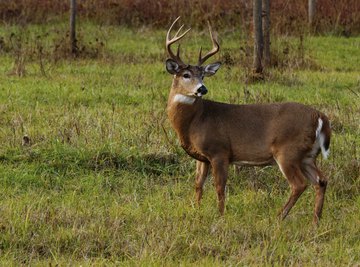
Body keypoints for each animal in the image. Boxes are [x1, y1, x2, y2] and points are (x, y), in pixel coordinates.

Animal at [165, 16, 330, 225]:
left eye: (202, 75)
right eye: (186, 75)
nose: (202, 89)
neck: (194, 122)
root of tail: (320, 116)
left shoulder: (219, 151)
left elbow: (219, 187)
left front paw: (220, 216)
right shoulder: (202, 157)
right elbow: (198, 185)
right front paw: (197, 211)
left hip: (288, 151)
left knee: (299, 184)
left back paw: (279, 217)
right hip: (307, 156)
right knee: (321, 180)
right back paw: (316, 221)